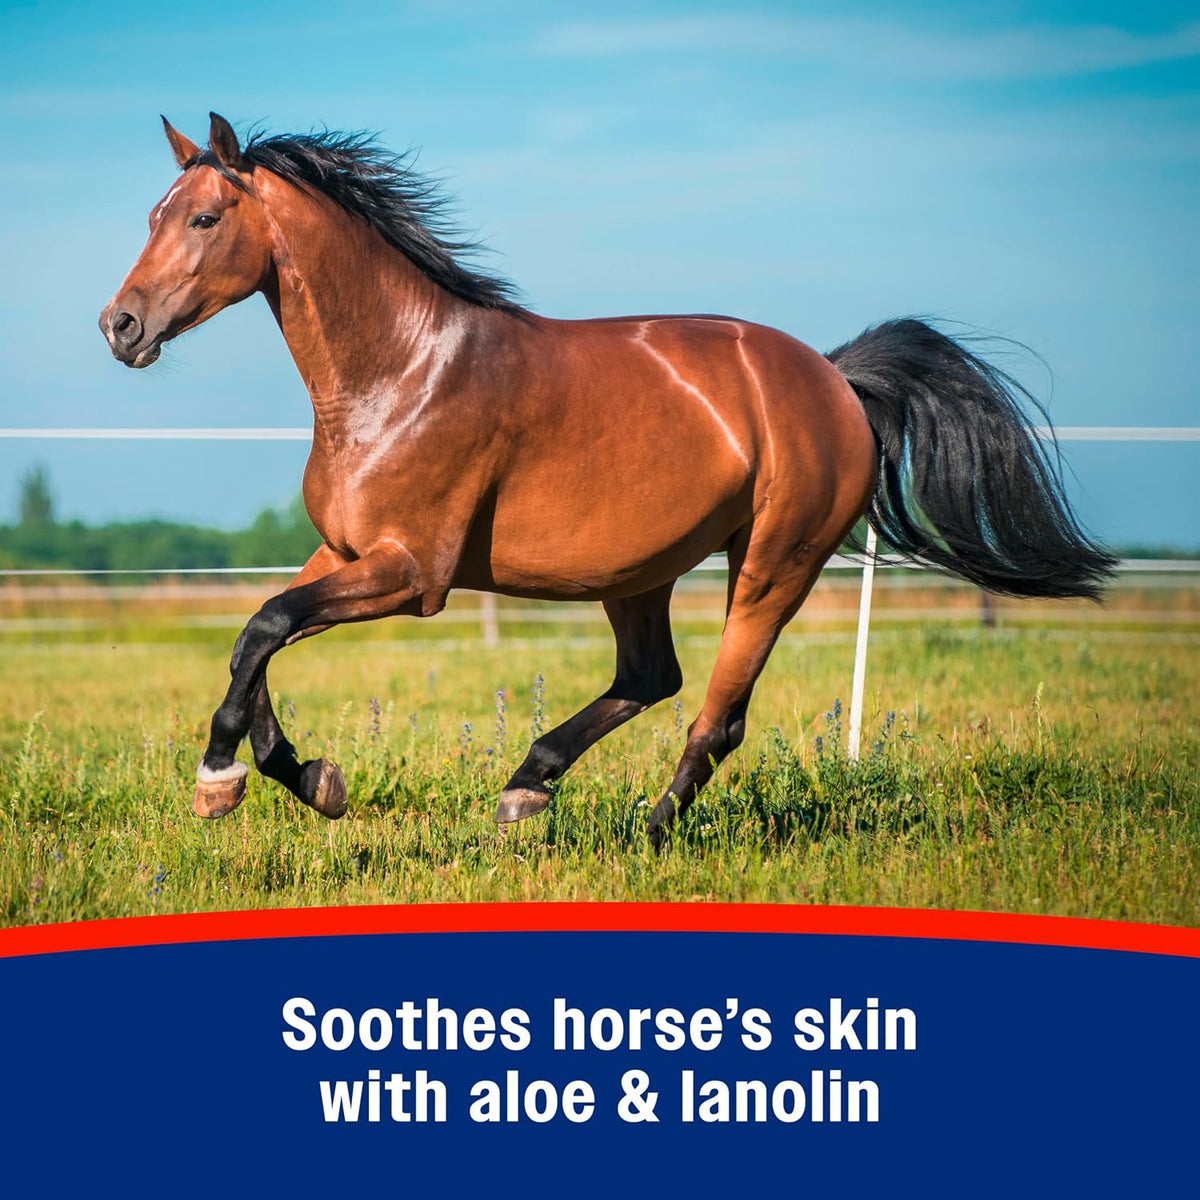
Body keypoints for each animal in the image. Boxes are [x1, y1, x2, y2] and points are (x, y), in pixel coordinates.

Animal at [99, 114, 1115, 846]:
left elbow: (265, 626)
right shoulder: (343, 552)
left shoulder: (412, 574)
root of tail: (834, 379)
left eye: (203, 218)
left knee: (717, 716)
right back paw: (527, 788)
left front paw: (221, 780)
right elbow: (256, 638)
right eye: (151, 217)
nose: (120, 325)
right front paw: (307, 778)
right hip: (638, 573)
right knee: (651, 676)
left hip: (775, 565)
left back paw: (644, 832)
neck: (399, 371)